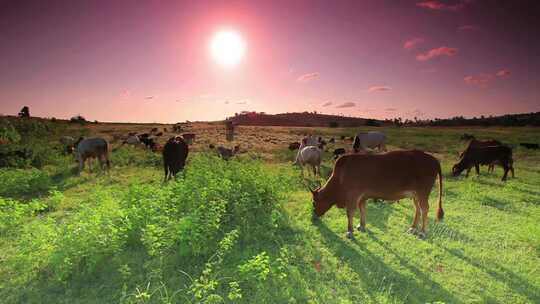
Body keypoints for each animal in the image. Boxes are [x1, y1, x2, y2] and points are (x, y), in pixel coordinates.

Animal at [312, 151, 442, 239]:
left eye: (314, 202)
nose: (313, 217)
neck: (340, 176)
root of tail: (434, 160)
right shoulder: (362, 197)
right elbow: (362, 210)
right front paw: (361, 225)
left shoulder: (353, 196)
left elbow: (350, 213)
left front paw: (350, 231)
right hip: (415, 195)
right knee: (417, 209)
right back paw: (413, 228)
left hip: (422, 193)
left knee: (424, 209)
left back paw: (422, 232)